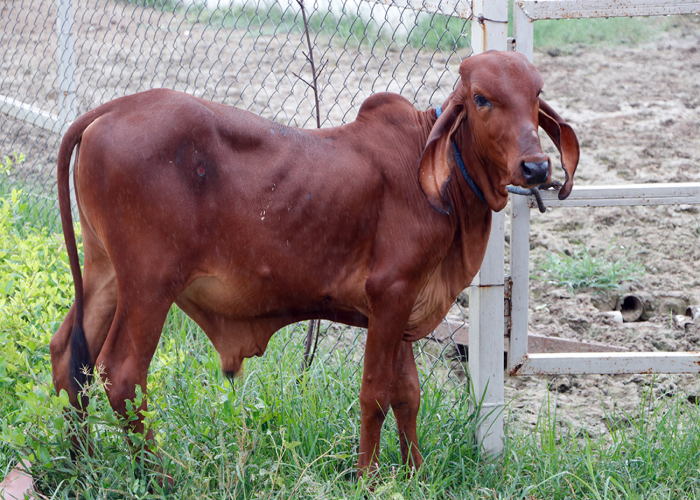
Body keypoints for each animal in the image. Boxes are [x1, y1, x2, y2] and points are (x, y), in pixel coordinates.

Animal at [50, 50, 580, 476]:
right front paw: (368, 478)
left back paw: (81, 463)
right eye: (482, 99)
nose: (536, 168)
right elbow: (375, 395)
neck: (440, 180)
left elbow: (408, 395)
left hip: (105, 272)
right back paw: (159, 477)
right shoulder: (391, 293)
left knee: (68, 357)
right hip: (150, 283)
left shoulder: (403, 305)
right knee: (121, 375)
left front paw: (414, 473)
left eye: (536, 95)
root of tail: (110, 109)